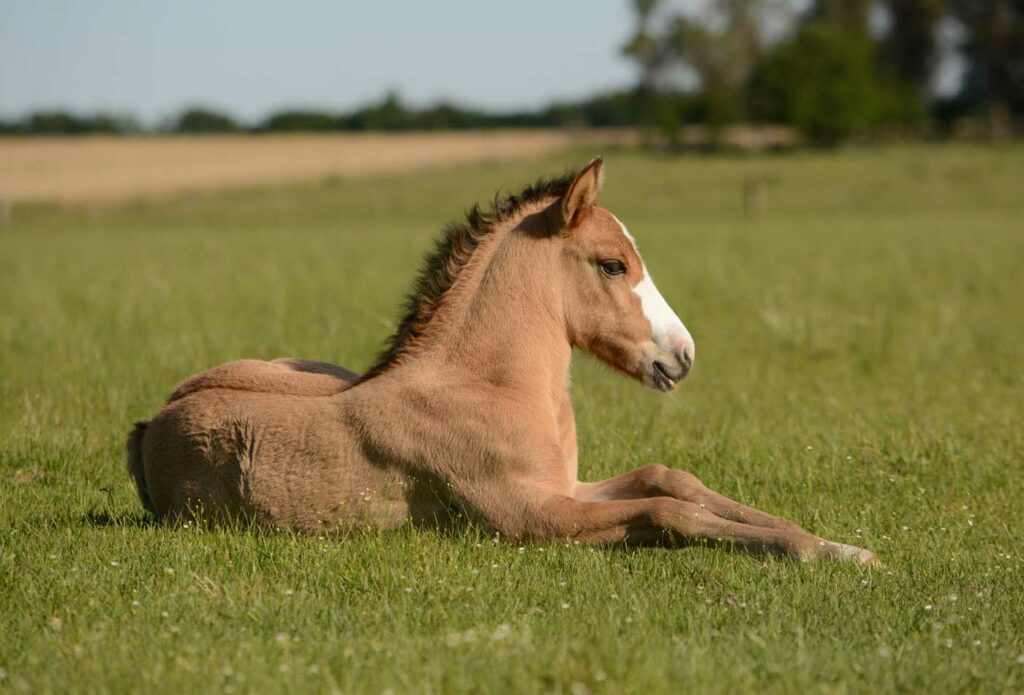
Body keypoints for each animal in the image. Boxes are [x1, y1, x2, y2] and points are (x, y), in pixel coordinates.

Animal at [125, 157, 880, 565]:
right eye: (612, 264)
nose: (683, 354)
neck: (490, 387)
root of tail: (150, 422)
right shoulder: (530, 516)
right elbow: (670, 512)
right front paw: (822, 552)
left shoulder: (567, 487)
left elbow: (673, 480)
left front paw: (836, 544)